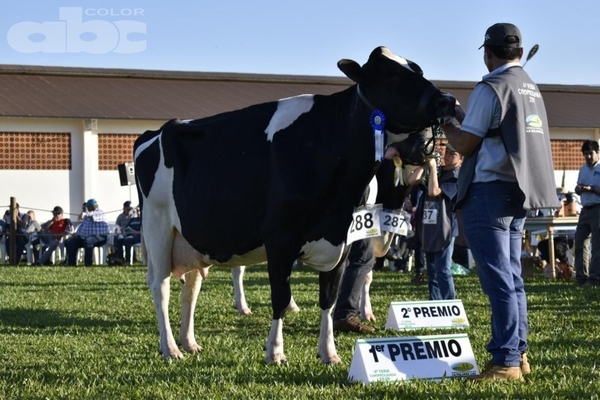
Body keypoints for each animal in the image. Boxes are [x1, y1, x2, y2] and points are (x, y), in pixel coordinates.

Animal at [135, 46, 454, 362]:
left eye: (418, 70)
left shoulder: (343, 238)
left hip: (191, 238)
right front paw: (275, 351)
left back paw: (189, 342)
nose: (447, 100)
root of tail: (155, 132)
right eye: (390, 75)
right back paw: (170, 347)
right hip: (158, 227)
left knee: (191, 287)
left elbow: (328, 298)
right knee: (160, 286)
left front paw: (329, 352)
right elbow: (280, 297)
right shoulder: (279, 237)